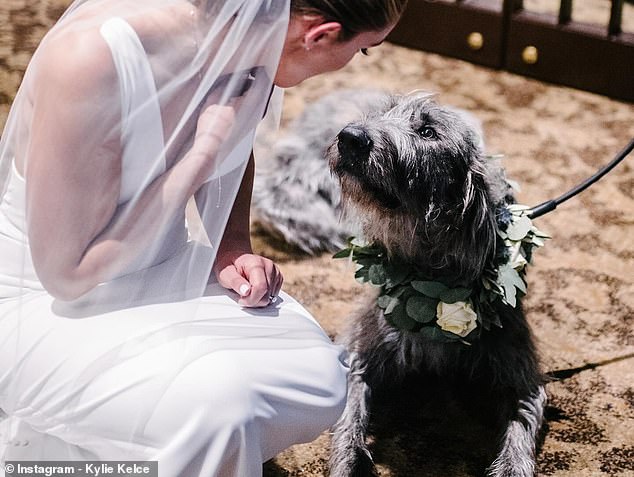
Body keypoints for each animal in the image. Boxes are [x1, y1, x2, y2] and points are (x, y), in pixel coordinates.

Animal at [252, 90, 544, 476]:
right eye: (384, 115)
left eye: (428, 131)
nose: (351, 137)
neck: (432, 274)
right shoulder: (358, 355)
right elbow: (349, 426)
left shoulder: (520, 376)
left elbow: (520, 429)